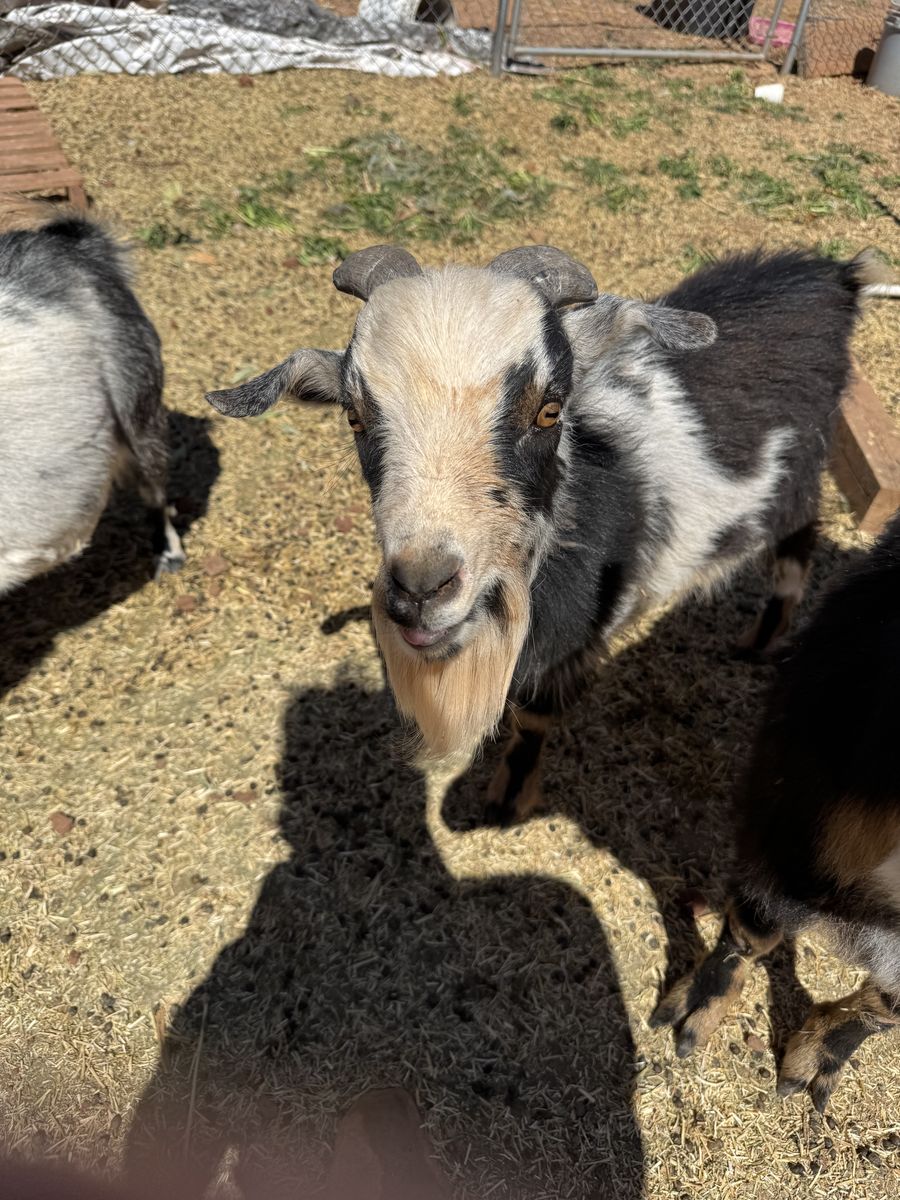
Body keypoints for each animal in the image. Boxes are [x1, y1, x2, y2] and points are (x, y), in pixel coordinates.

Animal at [207, 243, 875, 822]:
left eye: (550, 409)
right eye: (353, 416)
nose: (421, 590)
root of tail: (828, 276)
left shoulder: (571, 643)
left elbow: (534, 718)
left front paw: (508, 799)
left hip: (800, 470)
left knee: (796, 545)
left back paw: (762, 640)